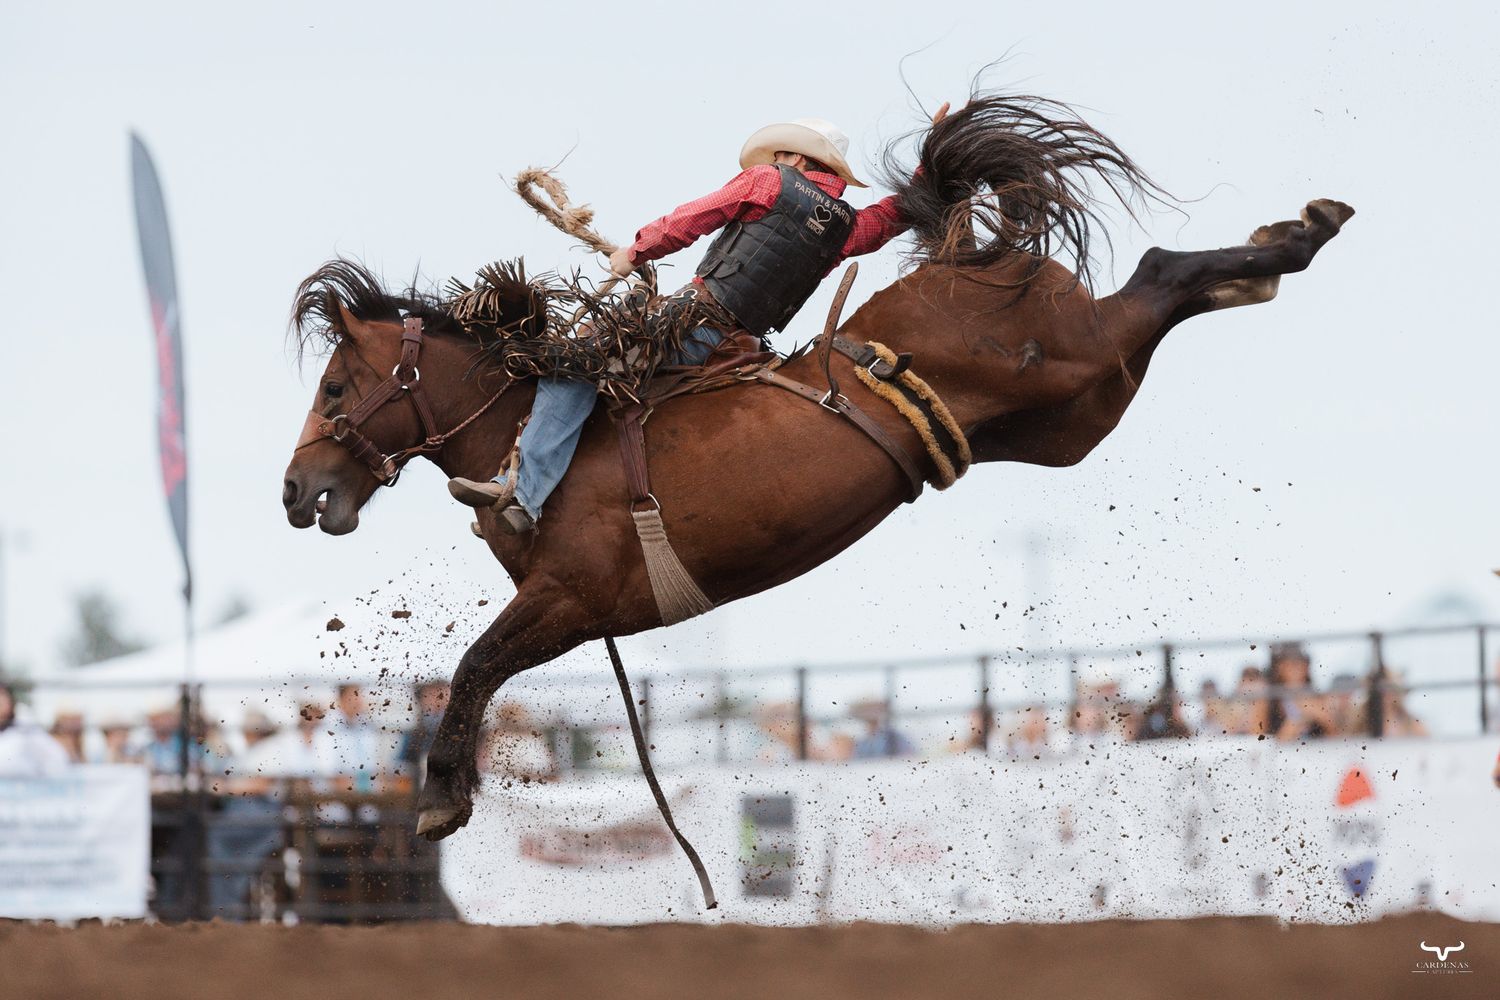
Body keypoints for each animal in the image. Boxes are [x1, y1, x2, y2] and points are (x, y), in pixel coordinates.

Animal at [281, 94, 1353, 840]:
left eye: (334, 387)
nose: (297, 491)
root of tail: (971, 256)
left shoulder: (569, 599)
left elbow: (472, 665)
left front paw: (439, 799)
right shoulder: (581, 616)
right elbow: (484, 668)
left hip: (1072, 358)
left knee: (1161, 272)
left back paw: (1297, 234)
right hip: (1079, 407)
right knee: (1160, 295)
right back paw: (1281, 248)